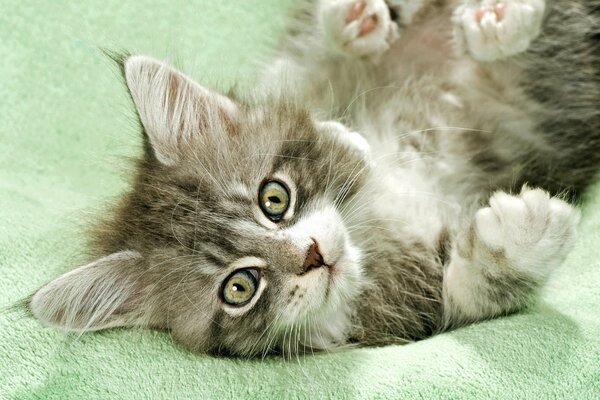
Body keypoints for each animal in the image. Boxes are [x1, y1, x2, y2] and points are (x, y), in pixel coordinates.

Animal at [31, 0, 600, 356]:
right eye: (240, 286)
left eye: (274, 199)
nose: (312, 255)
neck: (372, 220)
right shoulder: (414, 312)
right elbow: (470, 293)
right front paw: (522, 235)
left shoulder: (294, 80)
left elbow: (307, 73)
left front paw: (345, 125)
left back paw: (485, 22)